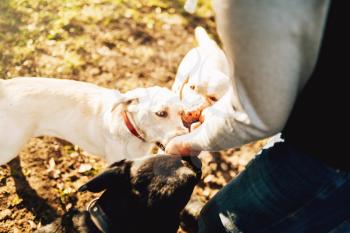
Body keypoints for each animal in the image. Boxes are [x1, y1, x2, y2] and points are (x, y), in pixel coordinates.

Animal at [0, 77, 187, 165]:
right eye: (161, 113)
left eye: (181, 113)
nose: (183, 136)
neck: (130, 131)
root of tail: (5, 86)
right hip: (9, 147)